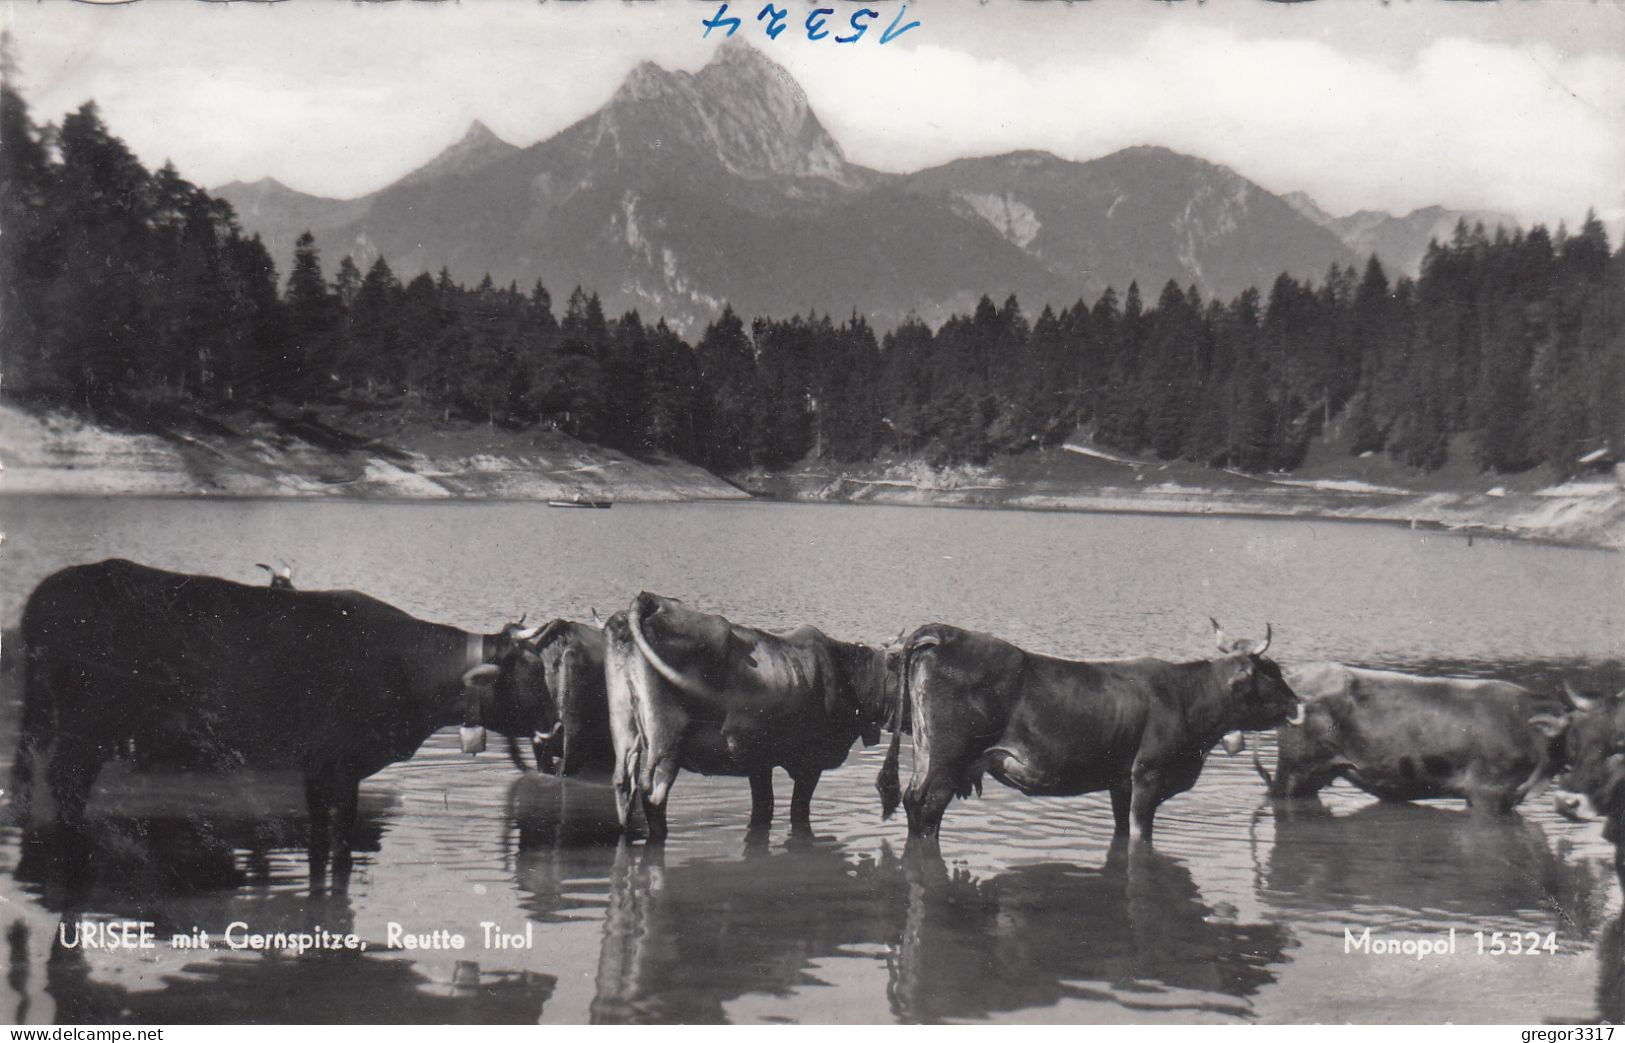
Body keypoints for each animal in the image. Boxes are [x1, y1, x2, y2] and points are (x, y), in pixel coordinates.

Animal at [11, 555, 559, 883]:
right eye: (531, 675)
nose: (555, 724)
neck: (406, 664)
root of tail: (50, 592)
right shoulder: (339, 765)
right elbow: (339, 846)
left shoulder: (322, 770)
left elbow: (321, 841)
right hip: (85, 728)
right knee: (66, 786)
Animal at [604, 591, 903, 838]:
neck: (848, 675)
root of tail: (651, 600)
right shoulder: (810, 764)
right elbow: (797, 811)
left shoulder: (758, 760)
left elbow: (764, 806)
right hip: (667, 738)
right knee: (652, 792)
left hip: (625, 723)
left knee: (623, 781)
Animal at [884, 617, 1300, 838]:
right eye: (1272, 672)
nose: (1297, 704)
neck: (1186, 697)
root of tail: (941, 631)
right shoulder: (1149, 777)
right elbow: (1139, 836)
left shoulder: (1121, 784)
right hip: (946, 761)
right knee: (927, 808)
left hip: (925, 752)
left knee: (913, 801)